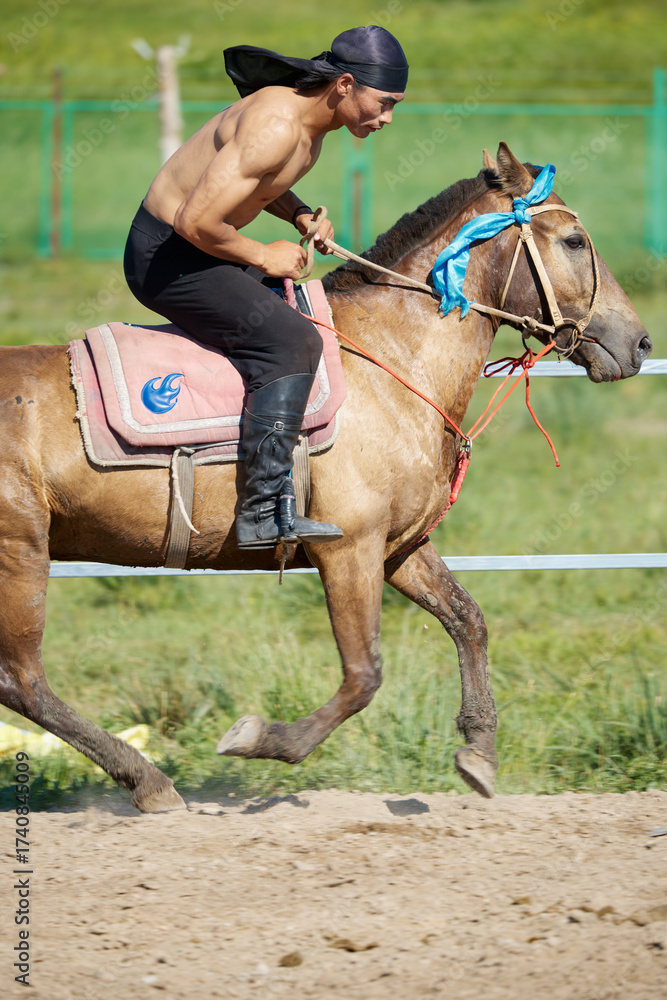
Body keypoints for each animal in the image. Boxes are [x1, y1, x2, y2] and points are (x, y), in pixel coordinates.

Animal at [0, 143, 652, 812]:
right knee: (23, 681)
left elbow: (467, 620)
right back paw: (149, 781)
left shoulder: (399, 548)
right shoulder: (348, 550)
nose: (639, 342)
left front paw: (479, 752)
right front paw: (262, 738)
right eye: (574, 240)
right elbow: (364, 674)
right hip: (21, 554)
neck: (391, 358)